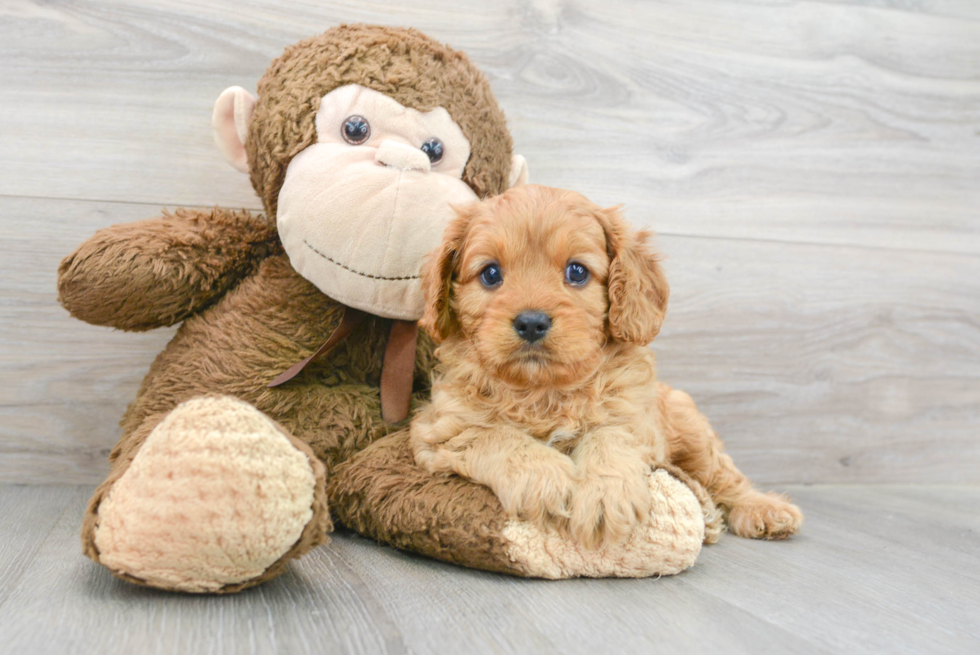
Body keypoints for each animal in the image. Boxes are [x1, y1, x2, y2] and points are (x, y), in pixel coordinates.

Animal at [410, 184, 800, 548]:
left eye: (577, 272)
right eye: (490, 274)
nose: (531, 323)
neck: (543, 391)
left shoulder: (634, 418)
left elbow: (608, 435)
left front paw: (606, 495)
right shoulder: (441, 427)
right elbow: (495, 435)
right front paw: (545, 478)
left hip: (691, 430)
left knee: (725, 477)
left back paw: (763, 509)